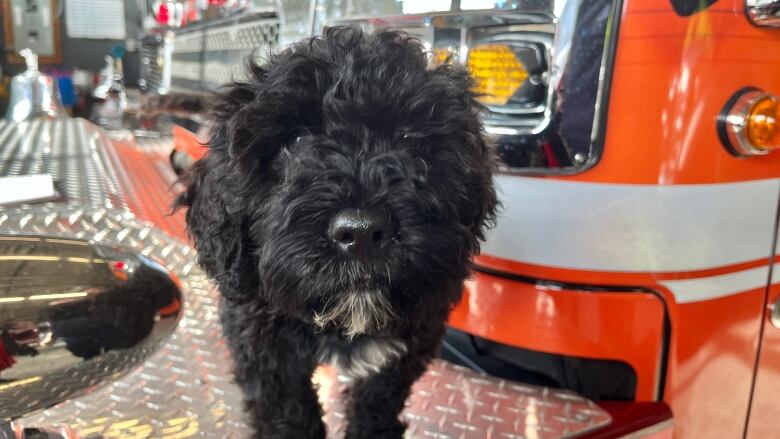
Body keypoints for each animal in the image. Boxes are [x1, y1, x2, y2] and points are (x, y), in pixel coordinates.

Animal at [175, 25, 494, 438]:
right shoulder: (260, 343)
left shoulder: (412, 335)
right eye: (293, 142)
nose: (361, 232)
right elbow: (287, 411)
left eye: (408, 140)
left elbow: (379, 398)